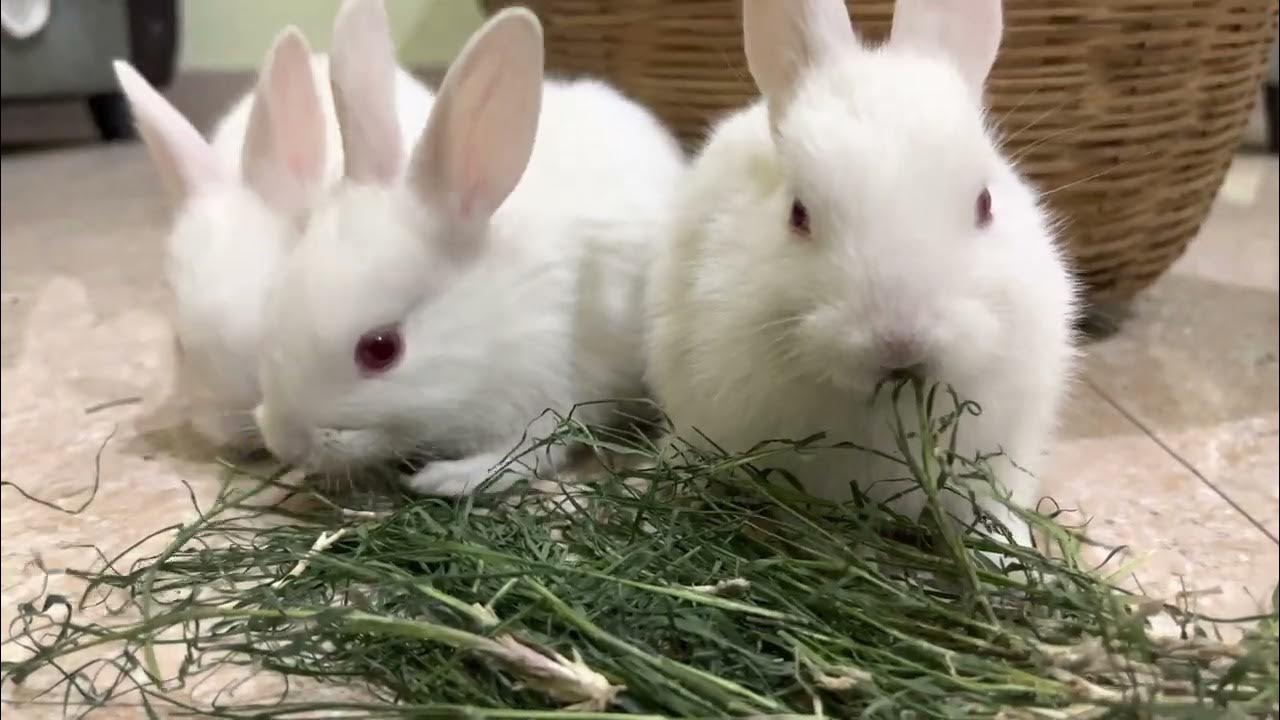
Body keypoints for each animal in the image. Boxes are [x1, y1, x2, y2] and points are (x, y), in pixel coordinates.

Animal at [252, 0, 686, 496]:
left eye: (381, 349)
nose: (284, 443)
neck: (495, 318)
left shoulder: (545, 388)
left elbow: (526, 453)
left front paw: (445, 478)